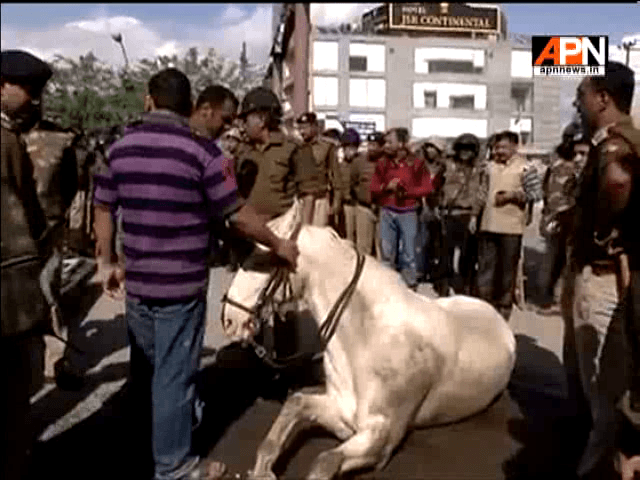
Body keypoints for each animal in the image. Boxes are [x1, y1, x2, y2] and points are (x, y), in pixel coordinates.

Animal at [222, 201, 516, 478]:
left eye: (264, 262)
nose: (229, 319)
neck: (366, 341)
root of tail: (498, 318)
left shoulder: (380, 438)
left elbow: (324, 461)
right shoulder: (339, 411)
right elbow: (293, 407)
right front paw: (262, 471)